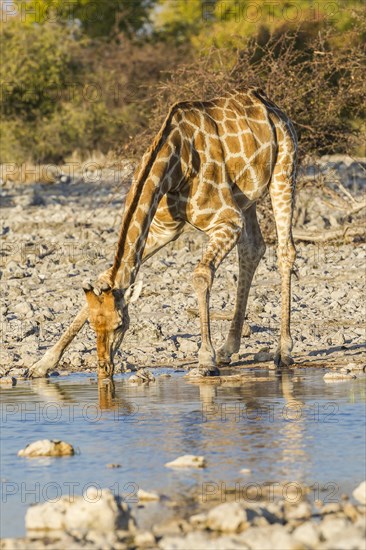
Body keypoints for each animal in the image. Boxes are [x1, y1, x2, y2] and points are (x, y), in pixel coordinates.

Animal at [28, 88, 298, 382]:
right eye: (92, 324)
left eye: (120, 325)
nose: (104, 369)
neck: (176, 164)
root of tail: (270, 105)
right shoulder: (162, 229)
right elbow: (106, 276)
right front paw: (42, 364)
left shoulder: (227, 220)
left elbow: (201, 275)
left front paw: (205, 360)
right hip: (246, 198)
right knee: (252, 249)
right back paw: (228, 349)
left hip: (284, 172)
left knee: (285, 251)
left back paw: (283, 351)